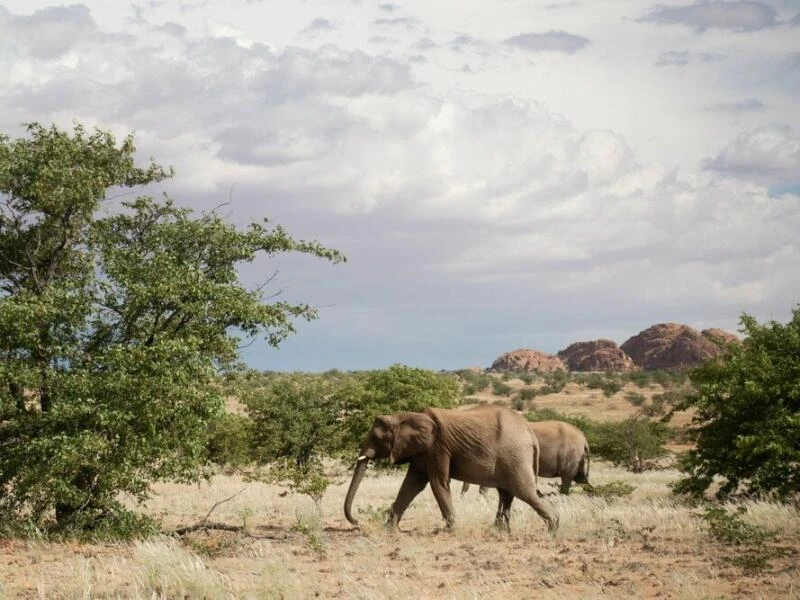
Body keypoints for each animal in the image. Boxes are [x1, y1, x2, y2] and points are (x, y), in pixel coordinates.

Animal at [342, 406, 556, 532]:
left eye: (377, 437)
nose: (358, 523)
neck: (405, 415)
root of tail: (530, 432)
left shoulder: (437, 447)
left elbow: (438, 482)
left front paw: (449, 530)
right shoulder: (422, 450)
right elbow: (412, 484)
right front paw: (390, 530)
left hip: (515, 457)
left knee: (523, 491)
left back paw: (554, 526)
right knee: (506, 494)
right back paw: (497, 531)